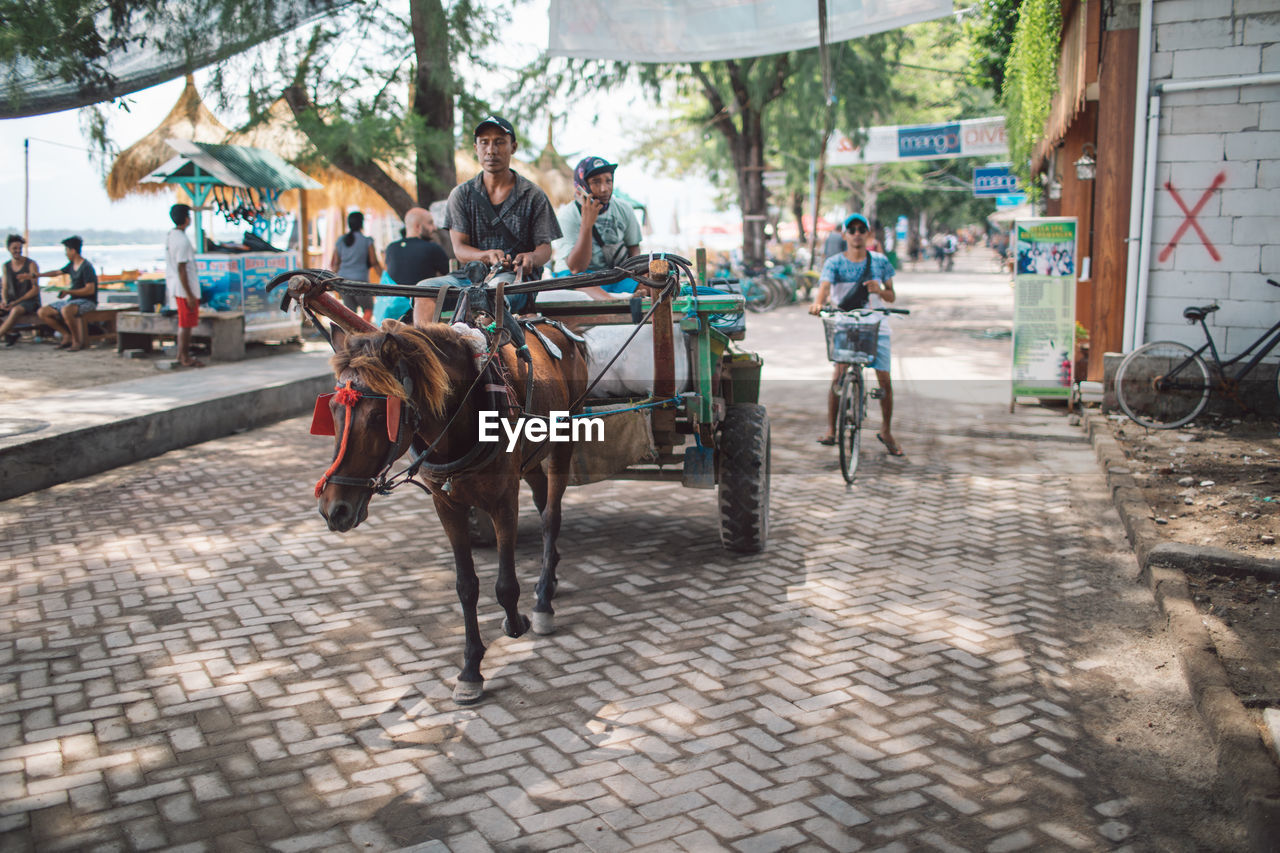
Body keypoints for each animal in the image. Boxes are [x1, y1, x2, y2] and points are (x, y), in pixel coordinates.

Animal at [314, 315, 586, 701]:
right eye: (332, 410)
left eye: (380, 416)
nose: (333, 509)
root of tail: (554, 325)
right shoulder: (446, 505)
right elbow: (466, 586)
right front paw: (471, 669)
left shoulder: (504, 499)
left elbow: (505, 585)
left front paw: (516, 621)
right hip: (534, 455)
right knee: (542, 499)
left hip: (565, 439)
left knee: (551, 518)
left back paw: (544, 599)